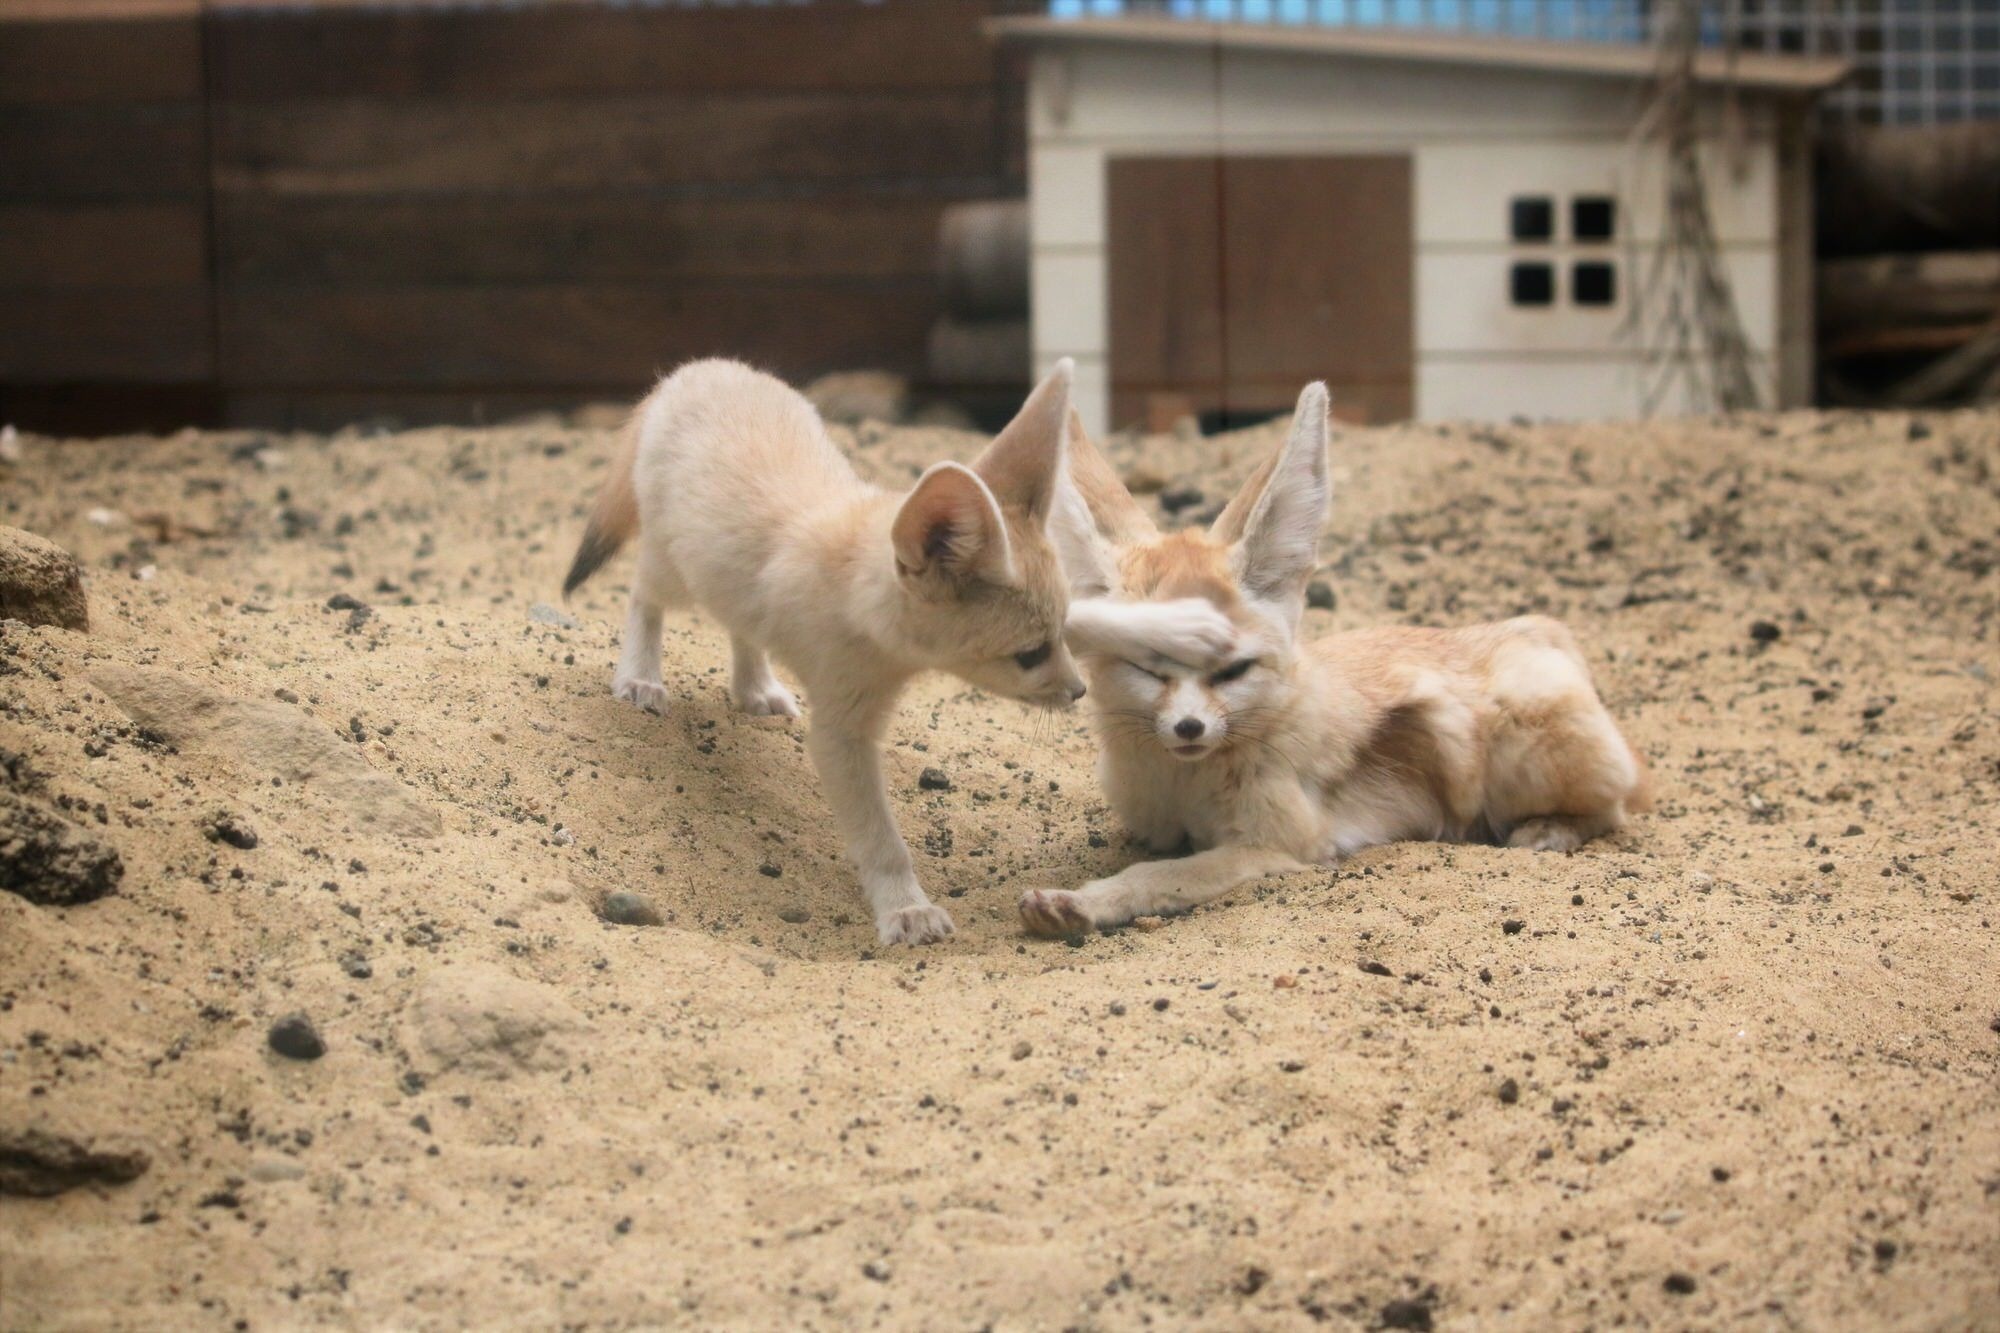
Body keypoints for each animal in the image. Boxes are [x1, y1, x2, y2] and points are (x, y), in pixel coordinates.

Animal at [556, 356, 1224, 944]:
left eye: (1053, 641)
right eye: (1030, 656)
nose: (1078, 691)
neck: (857, 579)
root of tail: (692, 370)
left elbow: (1099, 612)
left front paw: (1186, 628)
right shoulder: (841, 732)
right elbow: (881, 838)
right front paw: (906, 908)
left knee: (740, 624)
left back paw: (755, 688)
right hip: (679, 571)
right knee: (643, 593)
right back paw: (641, 676)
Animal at [1024, 378, 1648, 928]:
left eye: (1233, 670)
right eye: (1147, 668)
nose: (1189, 728)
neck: (1183, 785)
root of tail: (1540, 628)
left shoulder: (1276, 847)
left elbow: (1157, 876)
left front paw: (1081, 902)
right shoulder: (1155, 824)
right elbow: (1151, 856)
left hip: (1523, 734)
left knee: (1614, 806)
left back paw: (1549, 830)